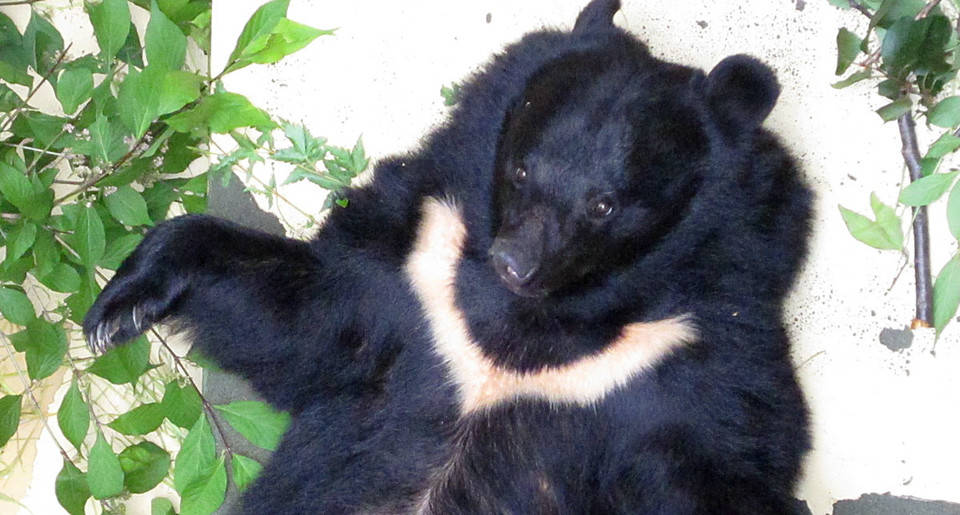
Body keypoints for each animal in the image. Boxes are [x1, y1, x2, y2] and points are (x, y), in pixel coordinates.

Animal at [86, 1, 812, 512]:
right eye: (520, 170)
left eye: (604, 205)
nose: (514, 262)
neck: (534, 317)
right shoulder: (418, 264)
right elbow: (304, 313)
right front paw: (119, 308)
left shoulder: (691, 356)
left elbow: (715, 469)